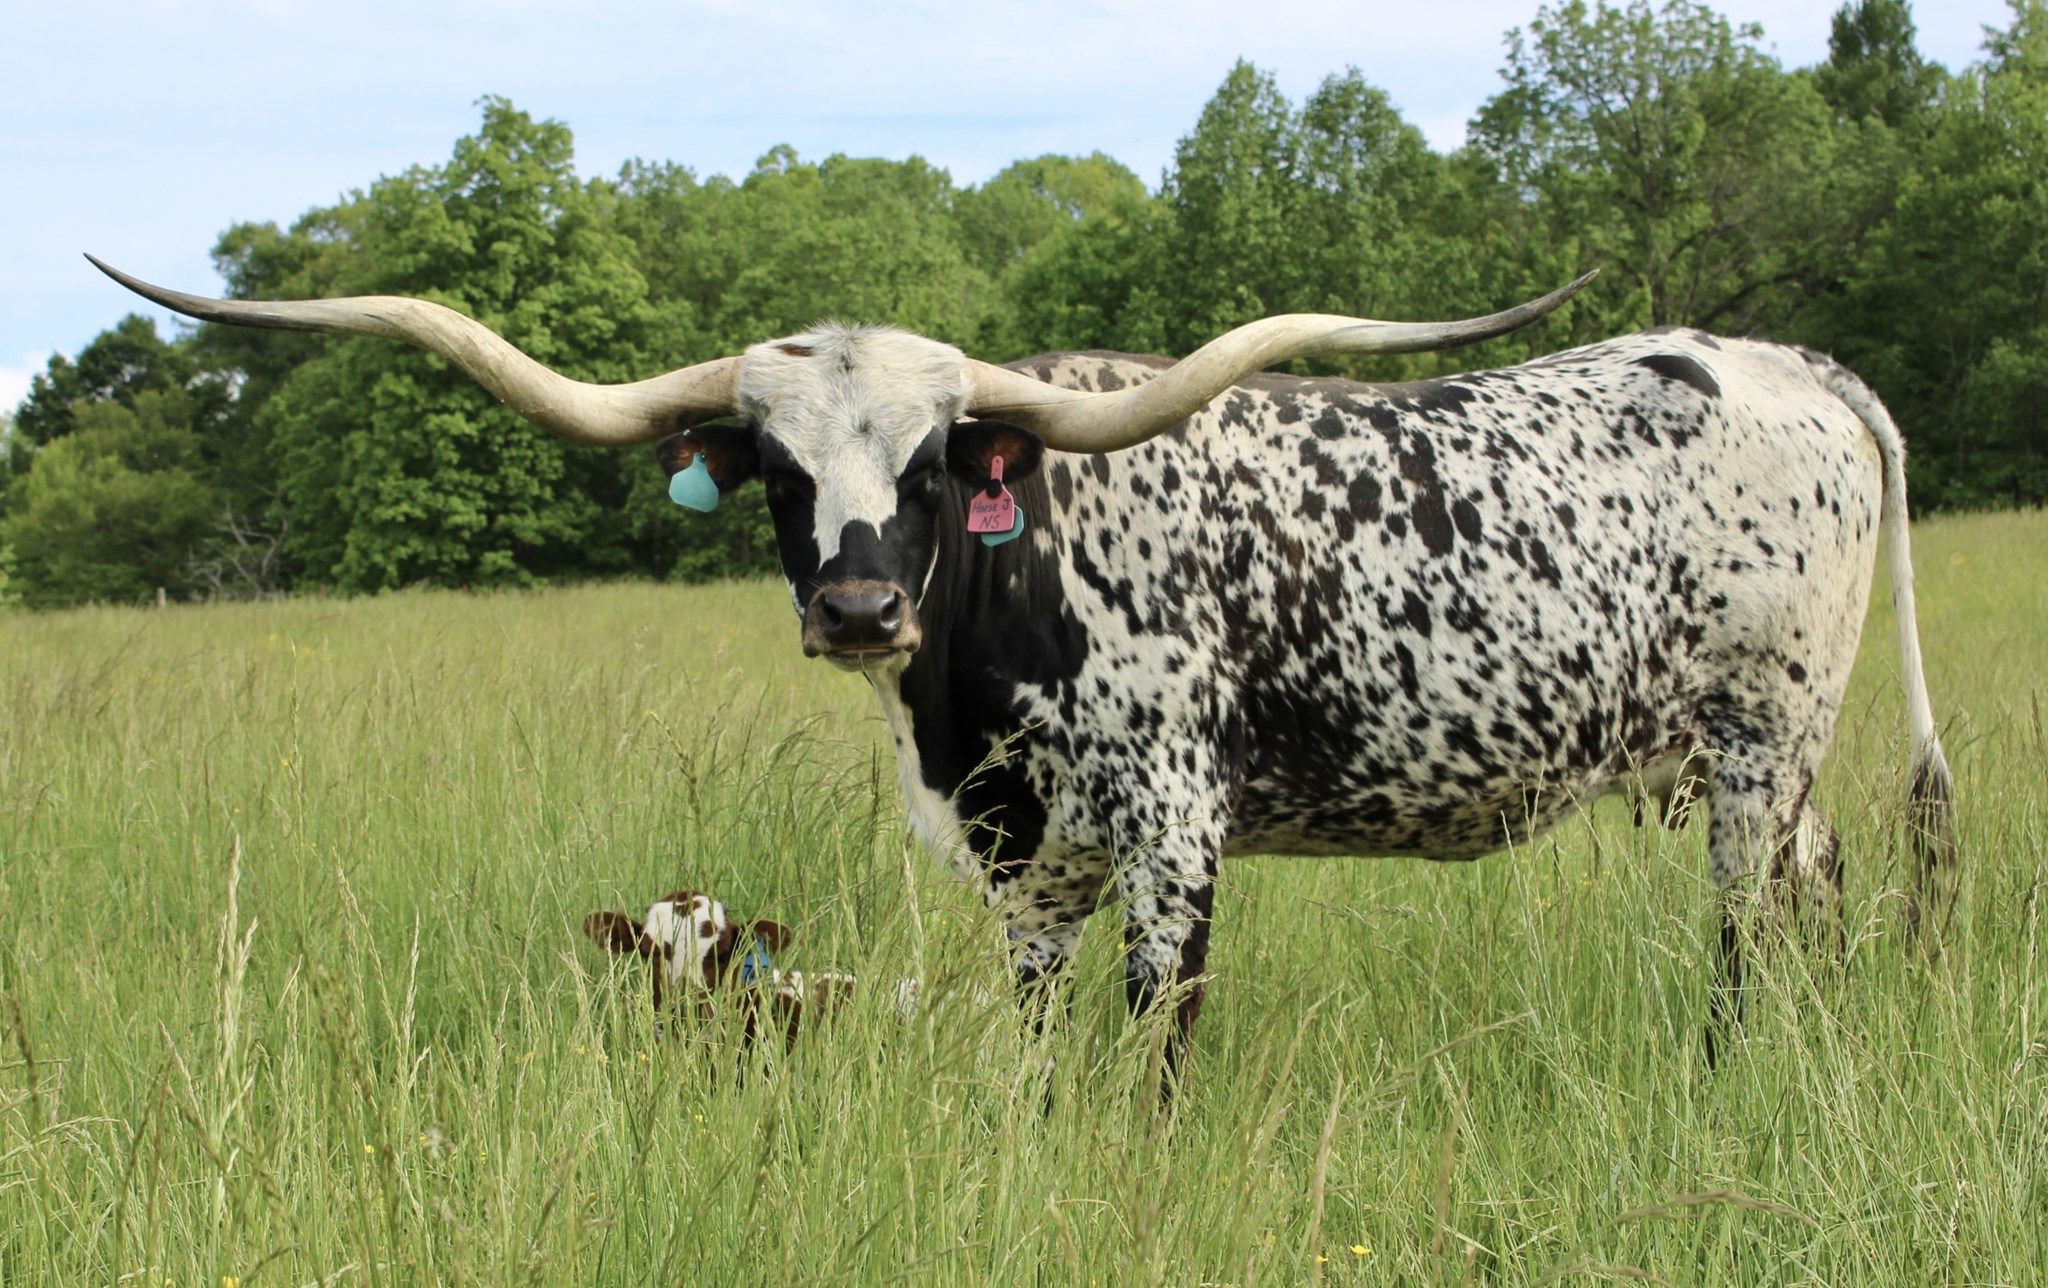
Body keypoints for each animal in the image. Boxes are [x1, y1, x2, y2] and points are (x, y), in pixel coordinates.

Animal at [92, 255, 1954, 1081]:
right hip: (1747, 757)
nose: (857, 608)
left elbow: (1160, 1023)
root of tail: (1786, 363)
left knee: (1745, 931)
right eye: (775, 472)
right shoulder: (1021, 860)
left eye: (932, 463)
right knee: (1822, 893)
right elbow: (1043, 1034)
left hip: (1759, 739)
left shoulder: (1175, 828)